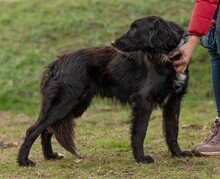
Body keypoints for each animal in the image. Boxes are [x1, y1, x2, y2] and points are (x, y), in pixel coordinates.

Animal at [17, 15, 192, 166]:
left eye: (135, 29)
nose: (113, 42)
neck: (166, 56)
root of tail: (56, 63)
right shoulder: (143, 100)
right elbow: (140, 132)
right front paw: (141, 158)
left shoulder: (174, 101)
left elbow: (173, 131)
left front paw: (178, 153)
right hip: (65, 103)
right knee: (32, 129)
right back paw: (24, 161)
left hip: (75, 106)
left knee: (46, 129)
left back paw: (50, 156)